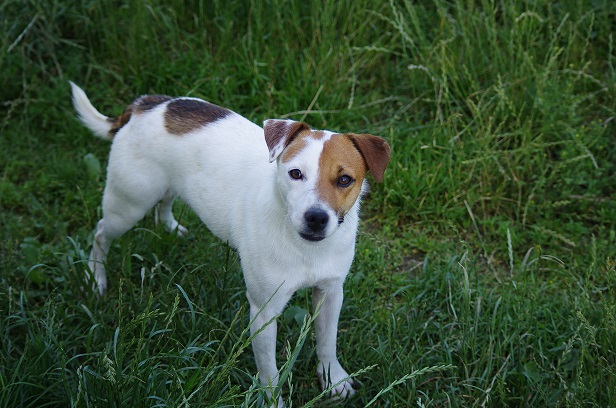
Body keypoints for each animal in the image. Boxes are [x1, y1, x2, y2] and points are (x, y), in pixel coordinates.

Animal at [70, 81, 390, 404]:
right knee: (100, 234)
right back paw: (95, 278)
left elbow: (327, 341)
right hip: (128, 206)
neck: (306, 248)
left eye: (345, 179)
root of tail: (148, 104)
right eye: (296, 173)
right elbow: (270, 372)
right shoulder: (263, 311)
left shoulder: (330, 293)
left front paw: (333, 379)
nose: (316, 218)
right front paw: (273, 402)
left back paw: (170, 227)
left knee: (165, 201)